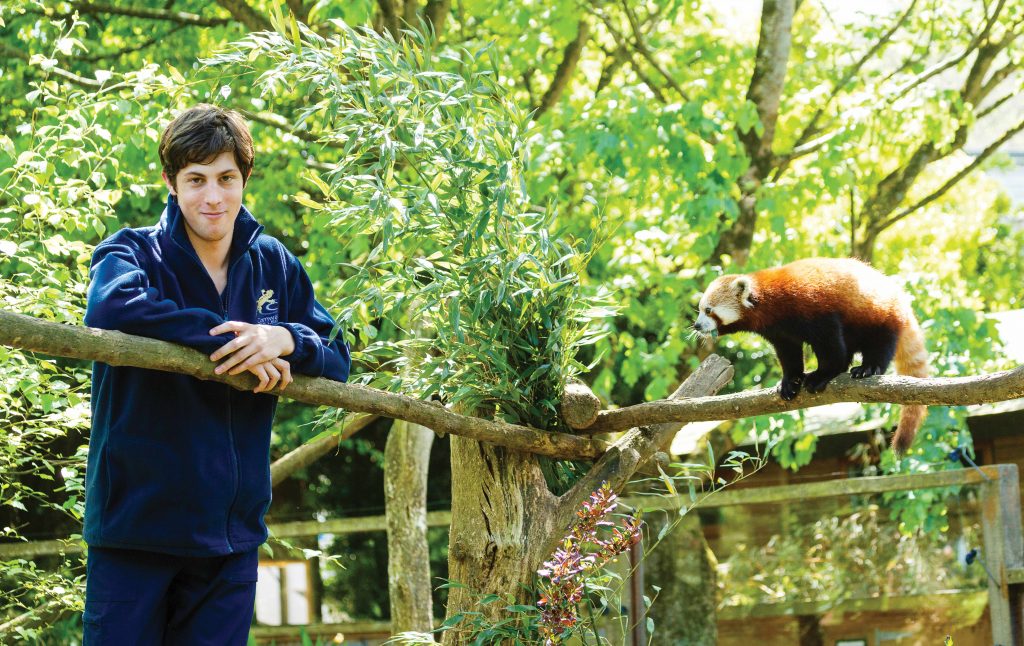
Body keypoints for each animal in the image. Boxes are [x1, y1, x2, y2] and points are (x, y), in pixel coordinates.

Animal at [696, 257, 929, 454]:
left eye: (708, 310)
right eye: (700, 310)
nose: (697, 325)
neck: (769, 302)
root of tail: (901, 300)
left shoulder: (814, 307)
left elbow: (830, 346)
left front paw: (822, 375)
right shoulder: (780, 332)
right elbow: (789, 355)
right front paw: (790, 382)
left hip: (880, 316)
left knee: (879, 345)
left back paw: (868, 368)